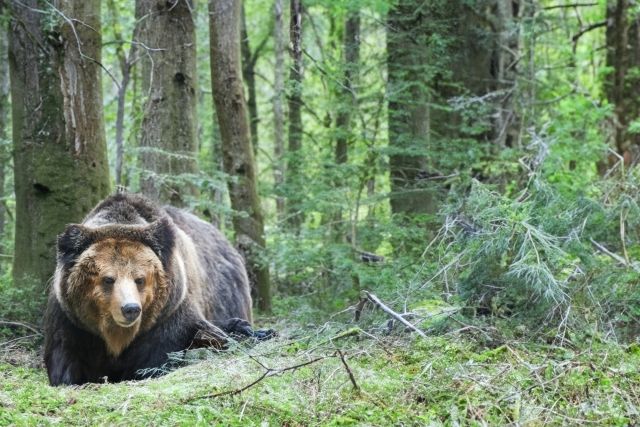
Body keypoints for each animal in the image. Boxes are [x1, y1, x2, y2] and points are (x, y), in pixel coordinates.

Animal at [42, 192, 258, 386]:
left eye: (139, 279)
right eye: (108, 279)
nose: (130, 308)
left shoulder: (167, 316)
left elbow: (156, 357)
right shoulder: (73, 323)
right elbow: (66, 358)